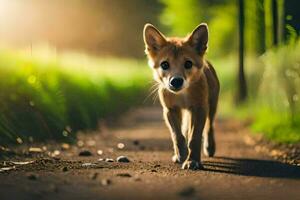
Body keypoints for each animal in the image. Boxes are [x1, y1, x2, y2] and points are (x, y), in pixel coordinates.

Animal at [144, 23, 220, 170]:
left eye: (188, 63)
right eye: (164, 64)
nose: (176, 81)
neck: (182, 95)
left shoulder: (199, 109)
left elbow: (195, 137)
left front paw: (193, 161)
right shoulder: (170, 110)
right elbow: (177, 135)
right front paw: (182, 154)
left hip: (211, 106)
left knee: (210, 126)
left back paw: (209, 146)